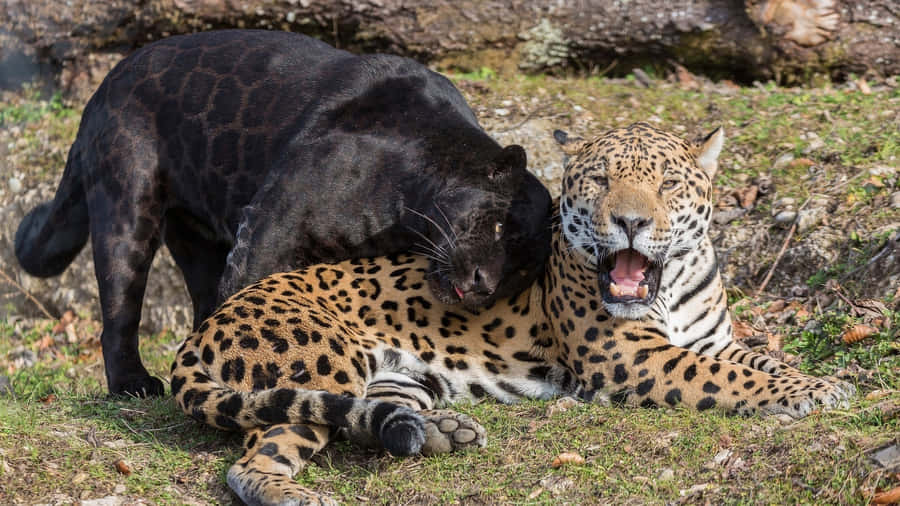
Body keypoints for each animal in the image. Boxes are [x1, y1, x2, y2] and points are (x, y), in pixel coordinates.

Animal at [14, 30, 552, 398]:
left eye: (519, 270)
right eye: (497, 225)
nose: (483, 283)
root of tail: (105, 83)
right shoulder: (275, 224)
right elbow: (249, 296)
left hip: (197, 238)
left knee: (203, 299)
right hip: (129, 206)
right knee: (121, 309)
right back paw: (133, 383)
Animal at [171, 122, 854, 506]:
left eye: (666, 184)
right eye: (600, 182)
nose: (630, 221)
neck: (672, 281)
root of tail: (204, 325)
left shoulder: (712, 339)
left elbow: (758, 360)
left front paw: (817, 379)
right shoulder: (630, 357)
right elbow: (733, 378)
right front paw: (814, 392)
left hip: (394, 378)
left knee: (364, 417)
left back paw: (441, 432)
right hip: (321, 364)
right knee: (254, 458)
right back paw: (296, 496)